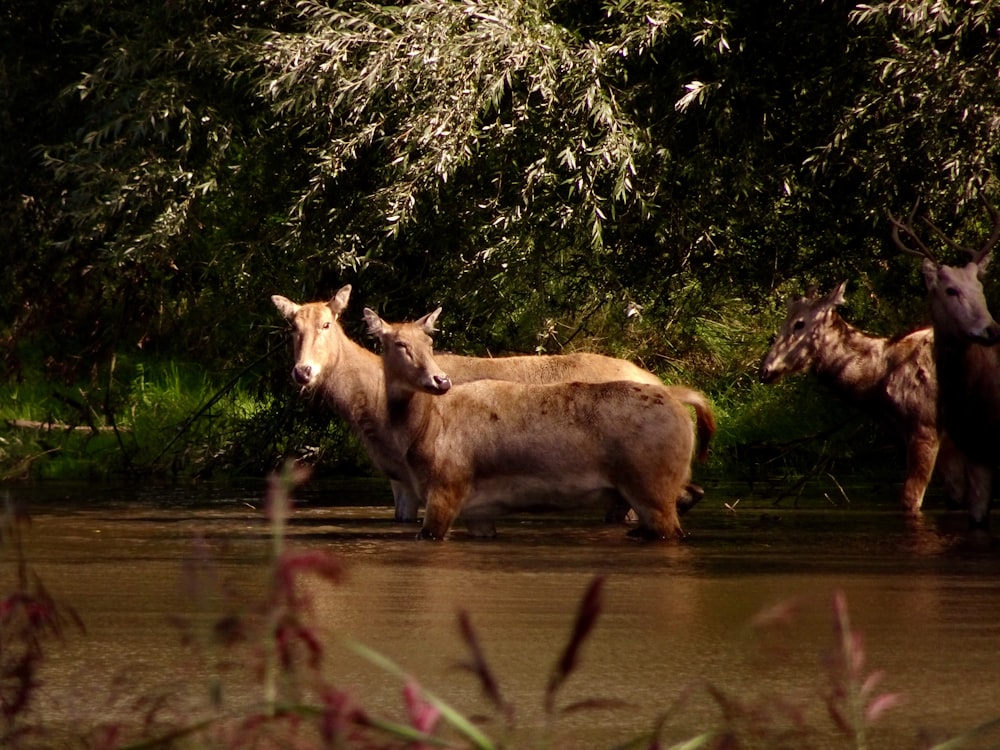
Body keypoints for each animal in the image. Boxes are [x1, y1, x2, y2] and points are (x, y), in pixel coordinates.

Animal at [274, 284, 708, 532]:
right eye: (292, 327)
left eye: (328, 323)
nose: (302, 371)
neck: (370, 411)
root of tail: (666, 386)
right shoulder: (399, 479)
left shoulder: (415, 479)